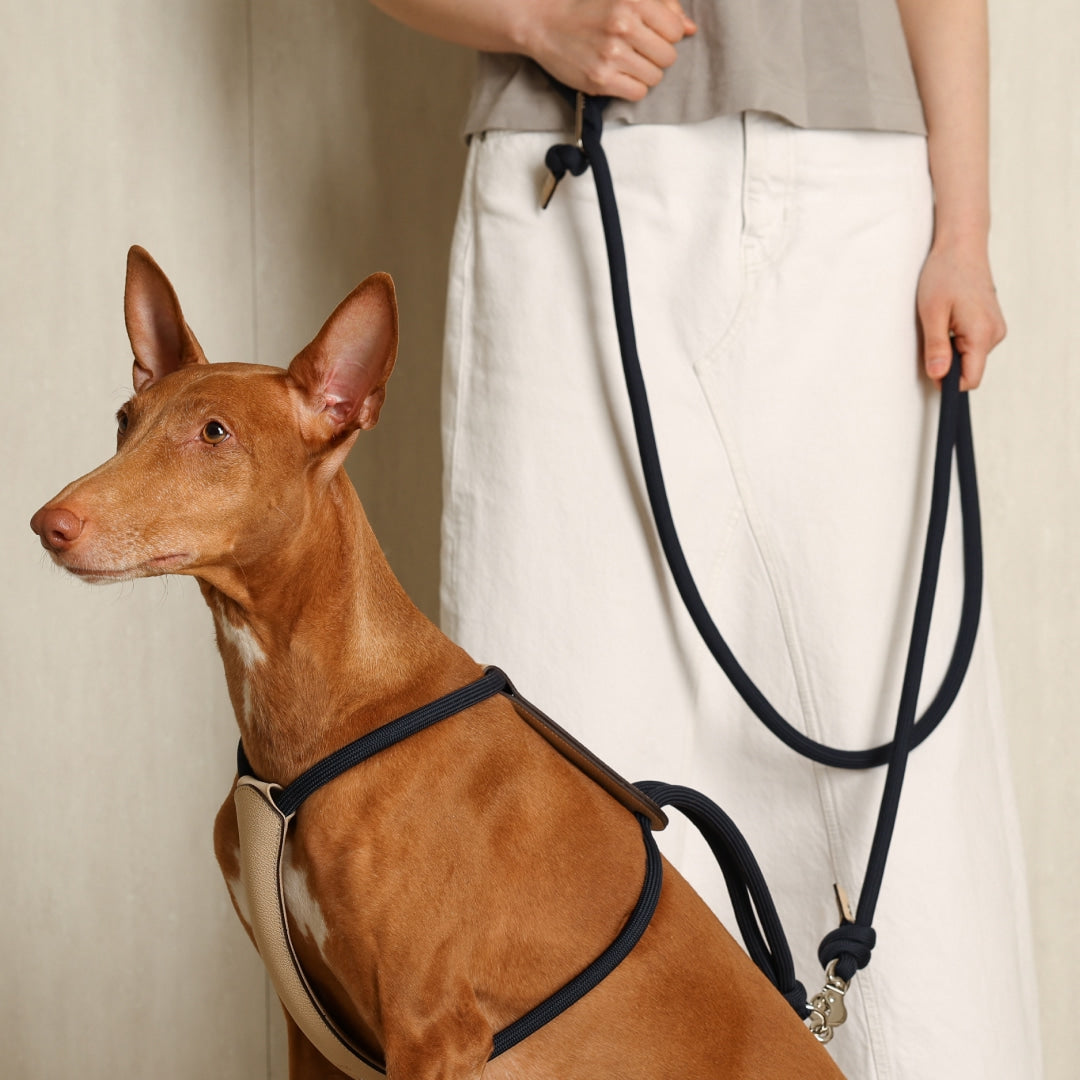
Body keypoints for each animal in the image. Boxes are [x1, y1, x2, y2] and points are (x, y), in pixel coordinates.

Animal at [31, 247, 843, 1079]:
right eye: (125, 422)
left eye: (214, 432)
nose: (46, 524)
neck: (331, 710)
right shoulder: (307, 1023)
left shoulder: (431, 1030)